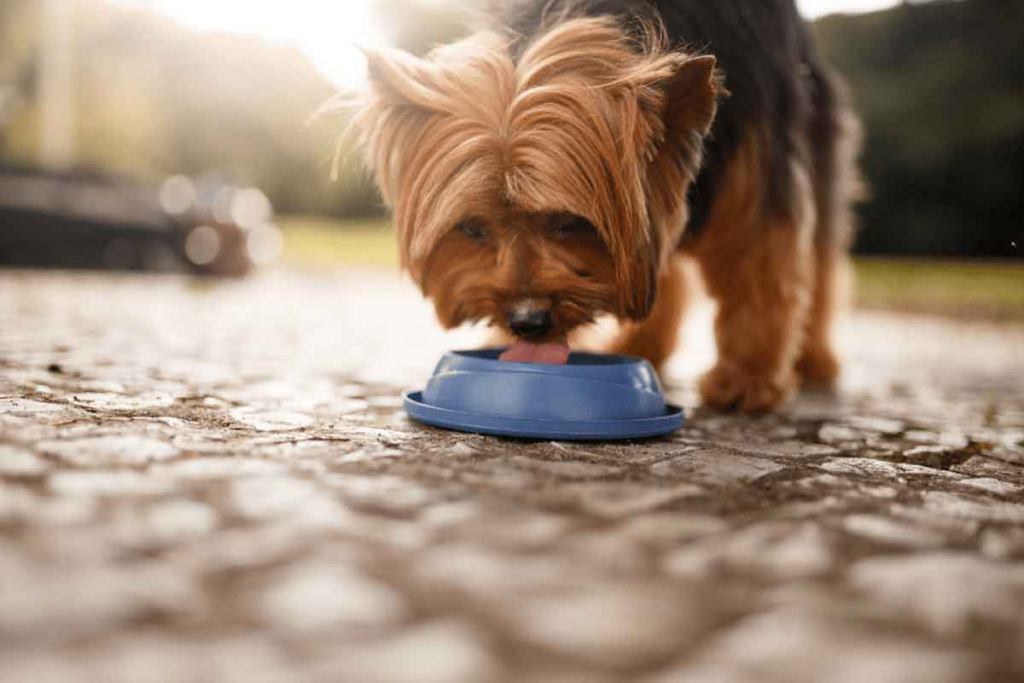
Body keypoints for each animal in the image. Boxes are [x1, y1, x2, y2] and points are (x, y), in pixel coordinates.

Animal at [339, 0, 860, 411]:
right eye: (472, 229)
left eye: (569, 222)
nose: (526, 322)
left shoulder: (758, 156)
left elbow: (760, 268)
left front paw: (747, 380)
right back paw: (642, 341)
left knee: (820, 261)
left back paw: (813, 360)